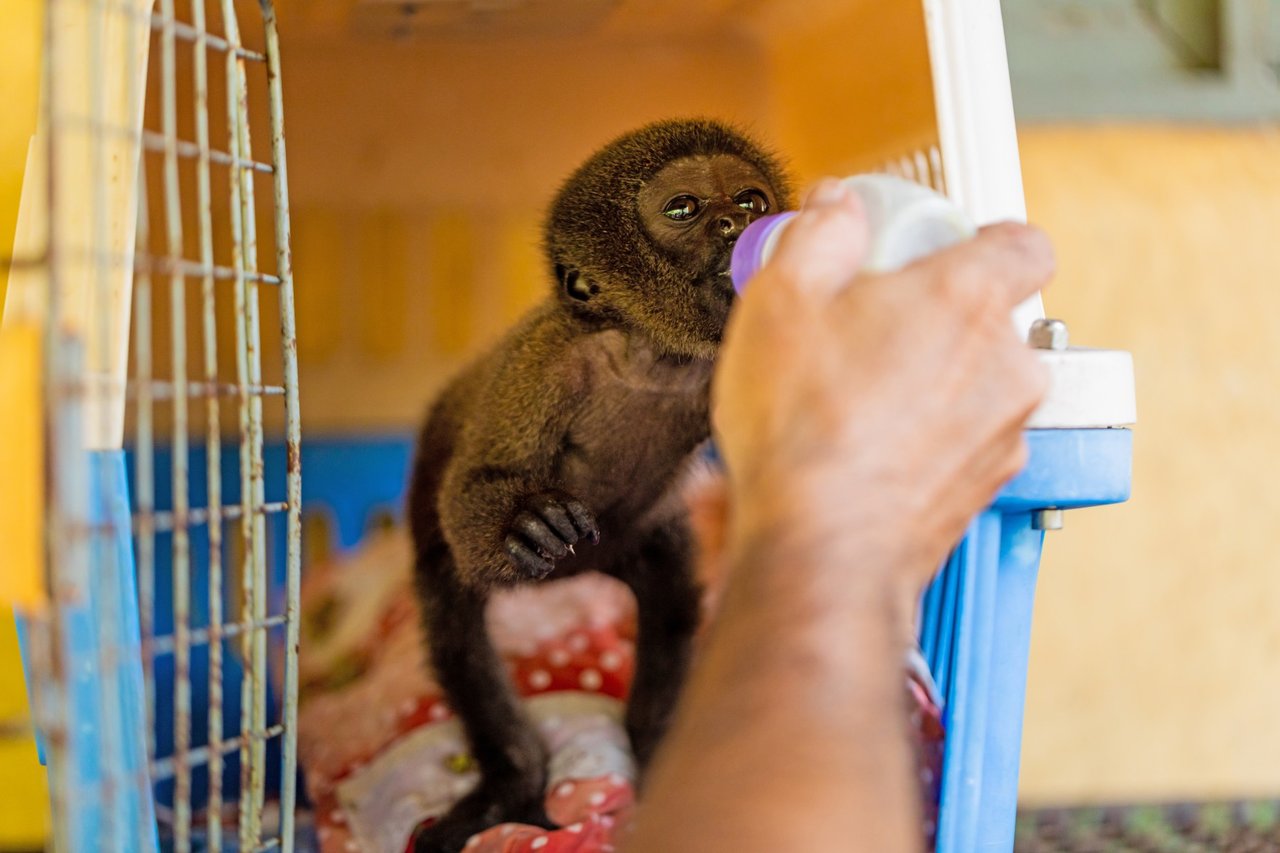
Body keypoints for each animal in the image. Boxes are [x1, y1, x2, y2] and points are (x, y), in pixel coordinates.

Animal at [407, 116, 788, 845]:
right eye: (683, 209)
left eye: (750, 198)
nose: (738, 222)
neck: (653, 360)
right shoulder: (544, 359)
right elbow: (478, 481)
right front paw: (522, 523)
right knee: (455, 624)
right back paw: (512, 784)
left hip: (633, 546)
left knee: (671, 607)